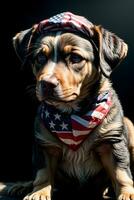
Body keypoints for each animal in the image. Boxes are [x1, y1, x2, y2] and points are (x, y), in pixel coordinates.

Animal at [1, 11, 134, 199]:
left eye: (76, 58)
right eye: (40, 57)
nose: (46, 84)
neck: (72, 114)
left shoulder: (113, 141)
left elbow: (121, 171)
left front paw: (128, 193)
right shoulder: (44, 145)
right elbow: (43, 172)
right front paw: (39, 192)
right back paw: (22, 186)